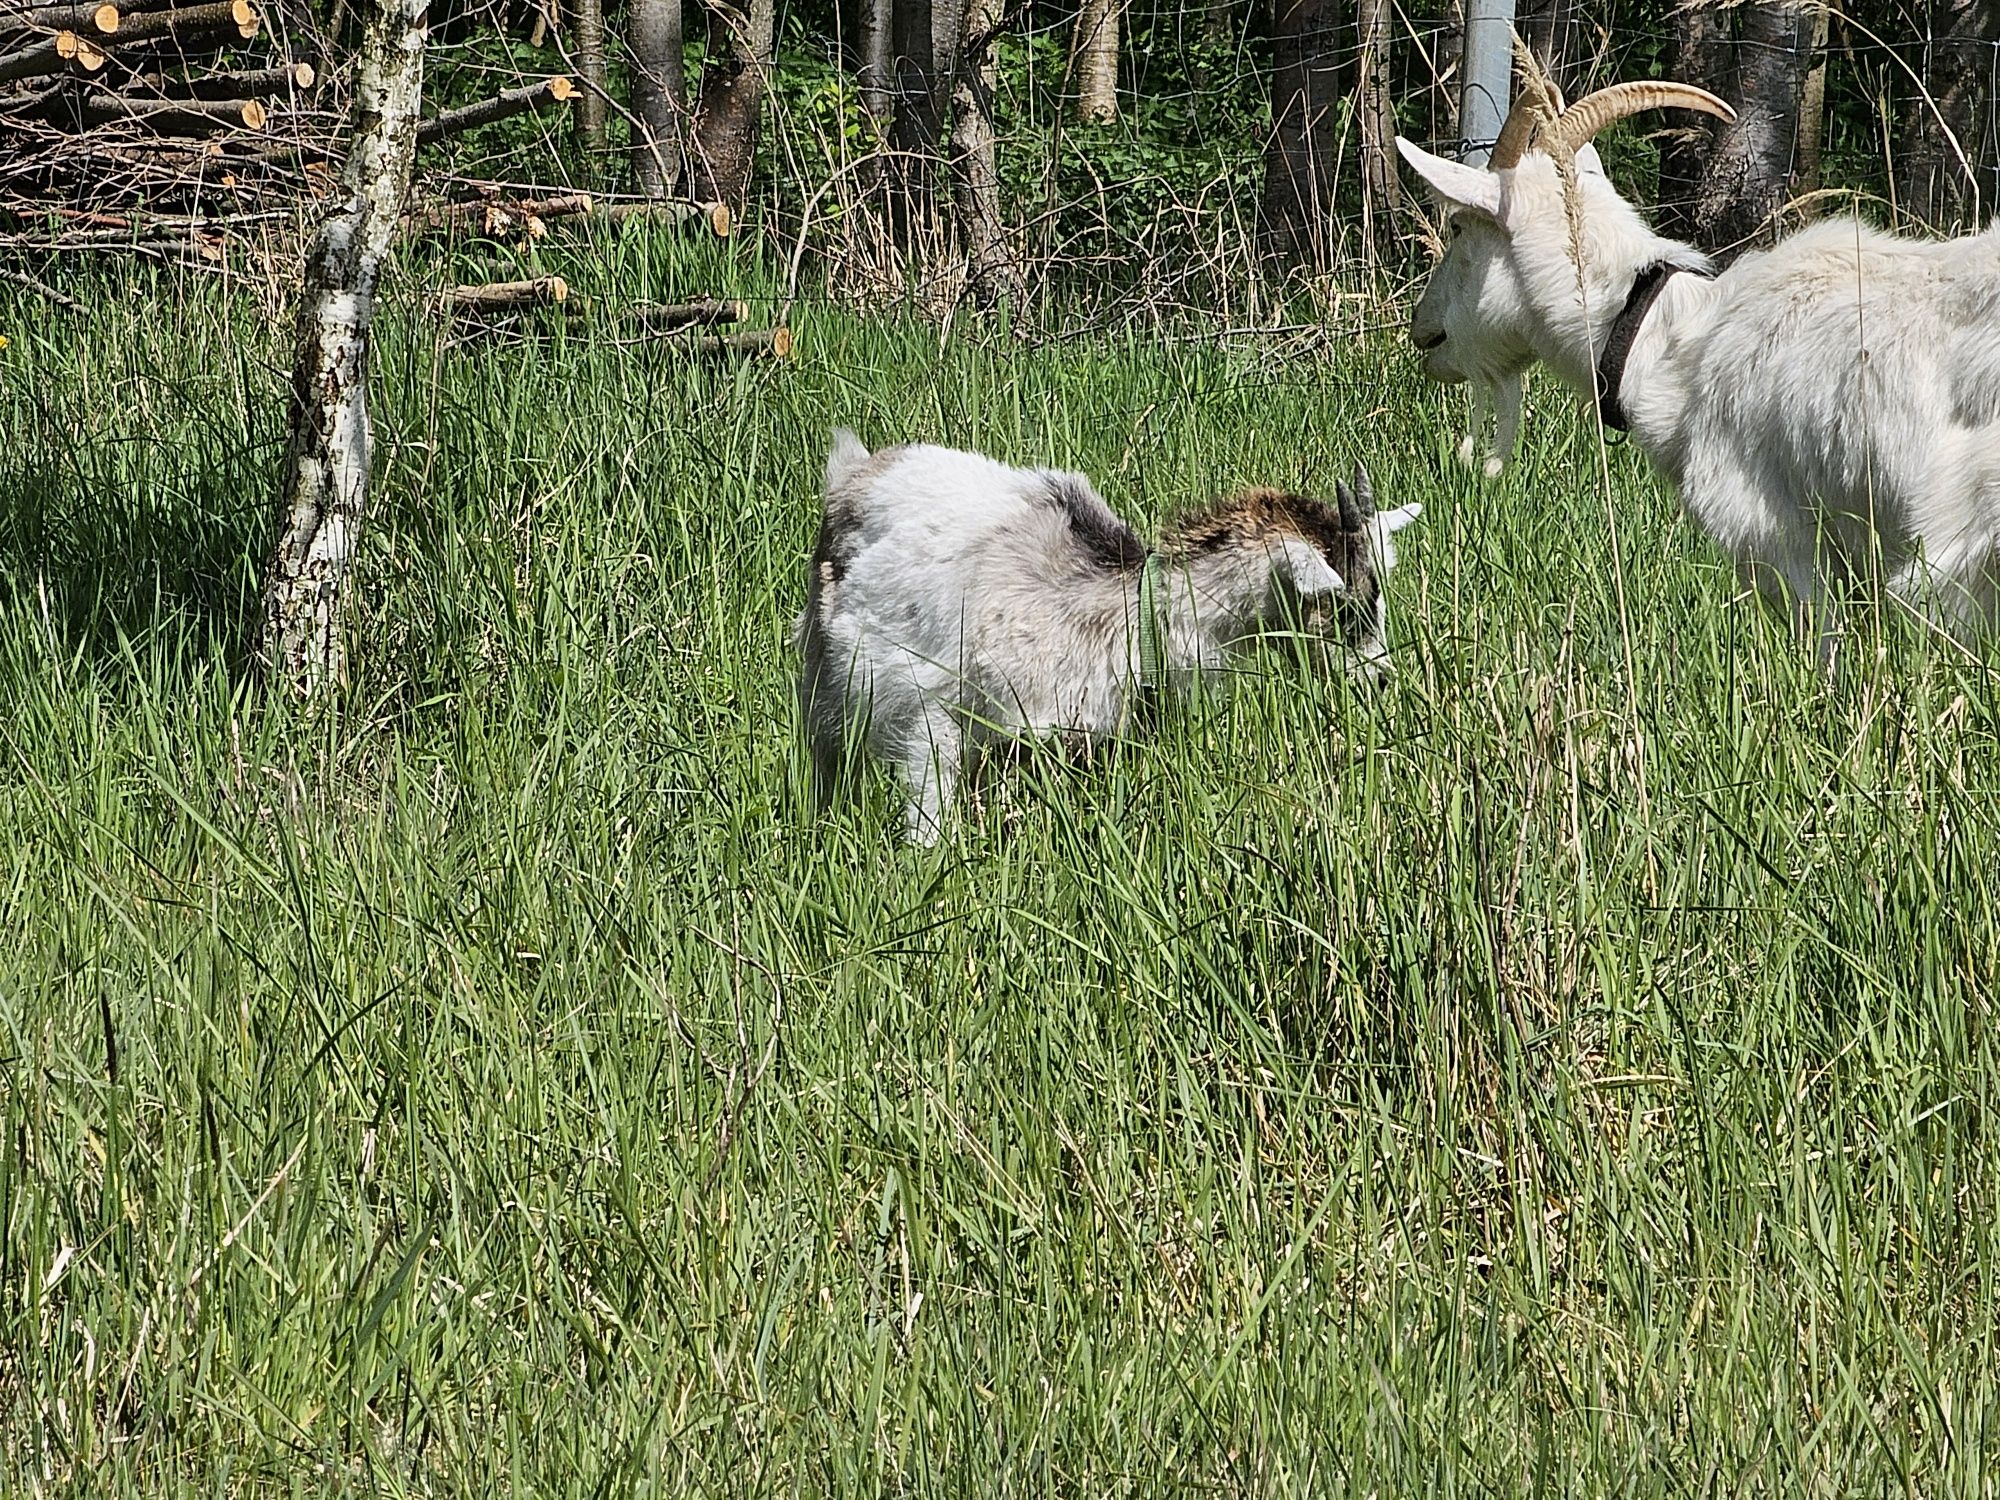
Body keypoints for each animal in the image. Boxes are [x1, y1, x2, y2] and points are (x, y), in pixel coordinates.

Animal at [792, 432, 1424, 848]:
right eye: (1342, 605)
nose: (1380, 678)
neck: (1134, 609)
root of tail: (853, 476)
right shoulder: (934, 713)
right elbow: (928, 820)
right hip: (833, 671)